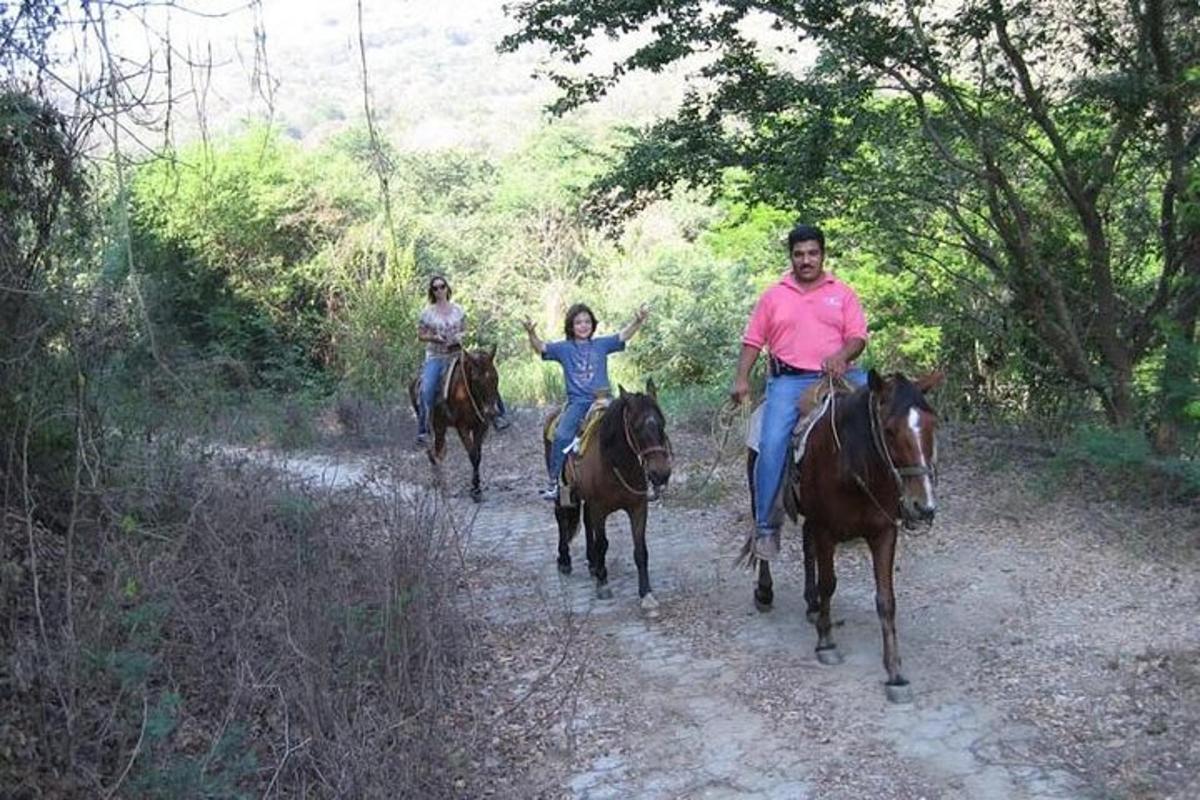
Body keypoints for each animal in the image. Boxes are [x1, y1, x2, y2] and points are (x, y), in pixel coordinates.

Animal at [408, 345, 501, 501]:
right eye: (476, 380)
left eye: (495, 377)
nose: (490, 412)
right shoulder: (462, 427)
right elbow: (473, 455)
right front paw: (475, 490)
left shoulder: (480, 426)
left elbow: (478, 456)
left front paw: (477, 488)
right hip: (434, 424)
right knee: (433, 451)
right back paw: (440, 484)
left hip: (441, 426)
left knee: (437, 451)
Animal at [547, 379, 672, 618]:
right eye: (636, 427)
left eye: (662, 423)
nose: (660, 473)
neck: (615, 462)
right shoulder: (600, 509)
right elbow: (603, 543)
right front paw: (603, 584)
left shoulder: (638, 508)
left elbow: (640, 551)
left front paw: (646, 594)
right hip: (563, 492)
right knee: (561, 519)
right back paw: (565, 561)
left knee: (586, 522)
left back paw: (592, 563)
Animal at [744, 369, 940, 700]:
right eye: (889, 430)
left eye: (931, 425)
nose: (922, 506)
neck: (852, 463)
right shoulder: (827, 530)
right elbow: (829, 584)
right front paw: (826, 643)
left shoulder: (884, 532)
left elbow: (886, 600)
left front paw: (895, 674)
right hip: (759, 490)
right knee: (763, 532)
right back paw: (765, 592)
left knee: (806, 543)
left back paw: (811, 605)